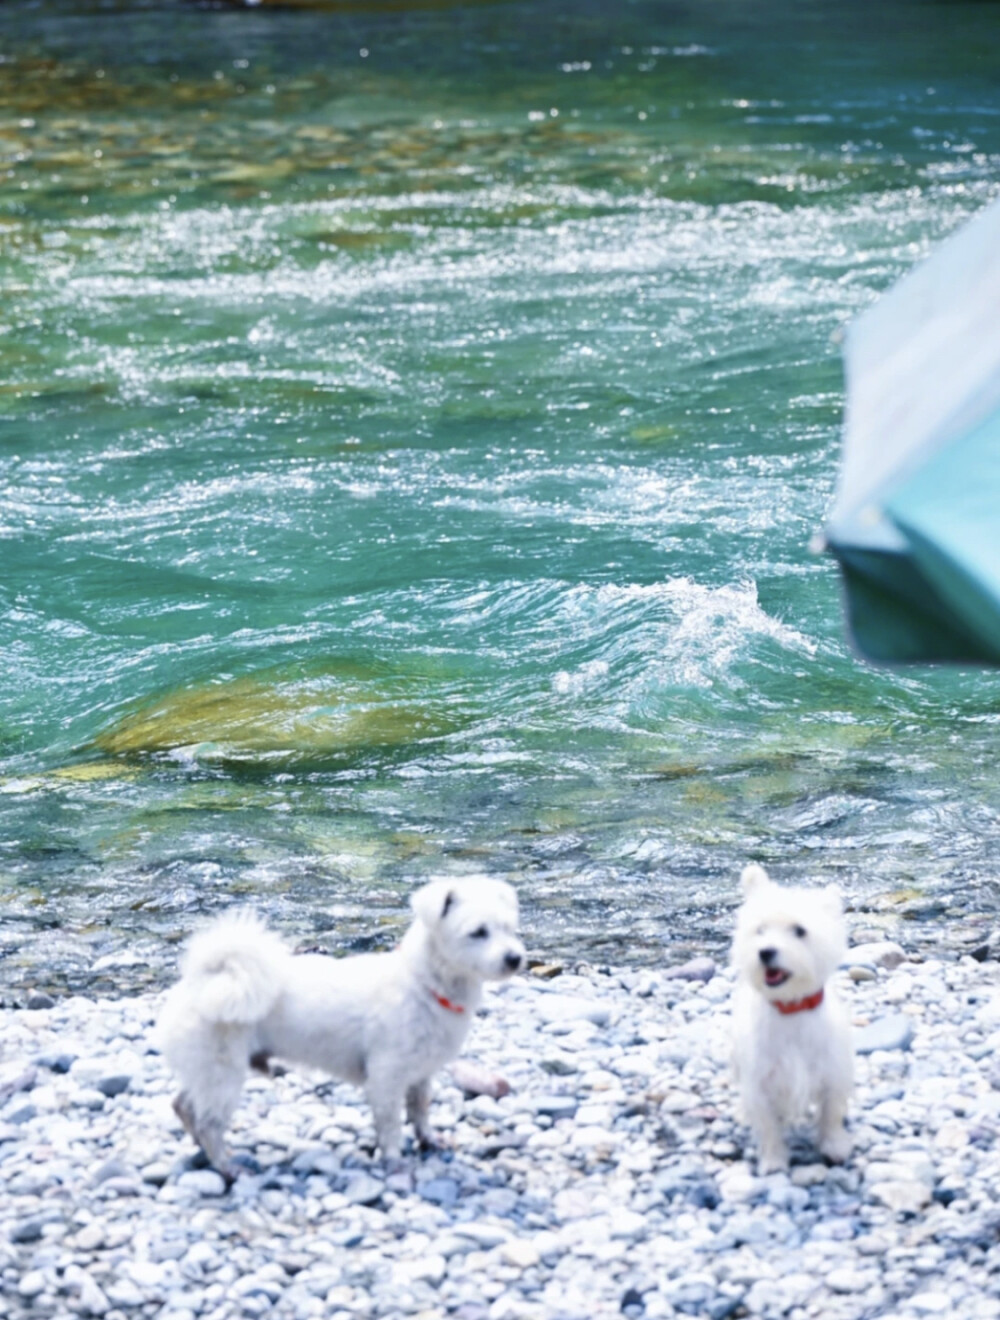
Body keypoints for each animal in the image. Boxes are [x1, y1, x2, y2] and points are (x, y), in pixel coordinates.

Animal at [156, 876, 527, 1177]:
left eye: (510, 928)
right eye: (478, 932)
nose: (515, 958)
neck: (424, 984)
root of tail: (199, 979)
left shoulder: (421, 1074)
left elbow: (420, 1112)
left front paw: (430, 1141)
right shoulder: (386, 1077)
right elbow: (391, 1125)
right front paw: (394, 1162)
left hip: (206, 1072)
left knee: (183, 1105)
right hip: (223, 1074)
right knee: (208, 1123)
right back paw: (226, 1166)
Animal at [728, 865, 854, 1177]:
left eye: (800, 930)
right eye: (759, 930)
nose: (765, 952)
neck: (791, 1007)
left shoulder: (832, 1071)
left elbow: (831, 1113)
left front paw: (834, 1146)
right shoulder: (760, 1080)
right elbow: (768, 1125)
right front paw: (774, 1161)